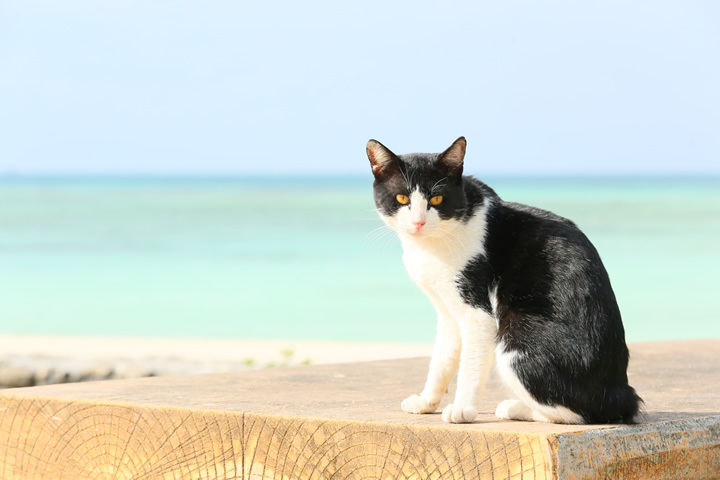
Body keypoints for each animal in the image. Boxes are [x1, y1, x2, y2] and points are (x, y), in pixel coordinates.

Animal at [366, 136, 640, 424]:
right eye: (402, 197)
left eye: (437, 198)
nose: (418, 222)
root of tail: (621, 392)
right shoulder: (447, 312)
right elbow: (442, 358)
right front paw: (426, 401)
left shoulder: (477, 311)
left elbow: (470, 363)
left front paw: (463, 409)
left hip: (516, 333)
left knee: (577, 414)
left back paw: (515, 408)